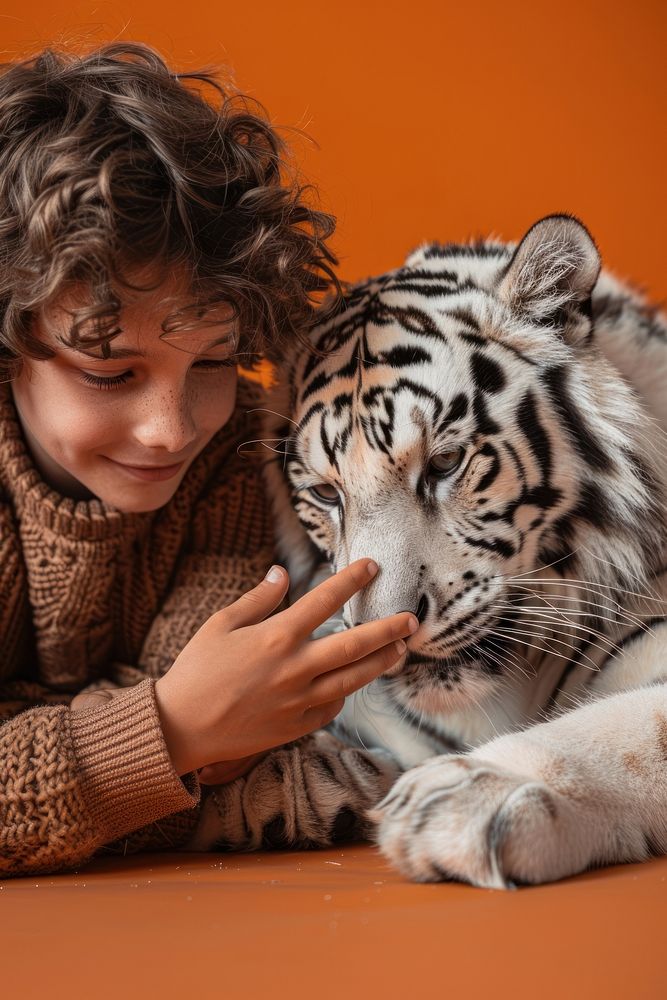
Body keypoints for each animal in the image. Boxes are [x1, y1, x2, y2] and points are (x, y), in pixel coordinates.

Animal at [189, 215, 667, 888]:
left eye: (444, 463)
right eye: (325, 493)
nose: (388, 628)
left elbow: (642, 724)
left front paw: (470, 797)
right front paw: (283, 781)